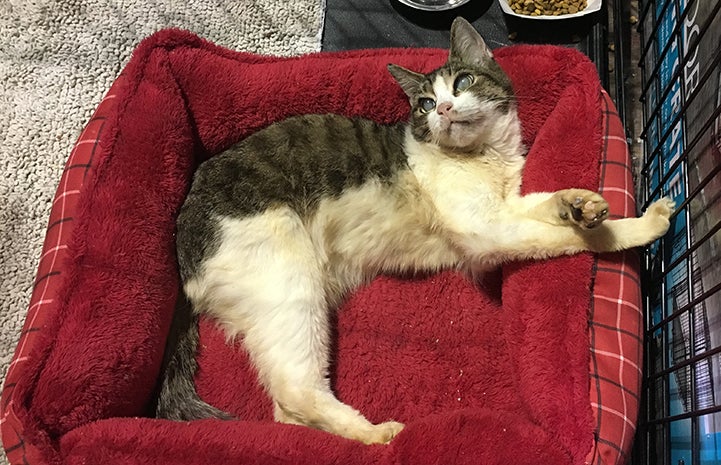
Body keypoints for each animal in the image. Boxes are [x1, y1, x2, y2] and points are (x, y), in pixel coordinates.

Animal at [155, 17, 672, 446]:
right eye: (424, 104)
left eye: (462, 83)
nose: (442, 108)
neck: (485, 159)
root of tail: (182, 249)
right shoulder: (487, 231)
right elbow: (567, 238)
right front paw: (638, 225)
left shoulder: (503, 208)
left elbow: (549, 205)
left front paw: (584, 205)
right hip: (290, 285)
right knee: (295, 392)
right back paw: (377, 436)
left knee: (286, 411)